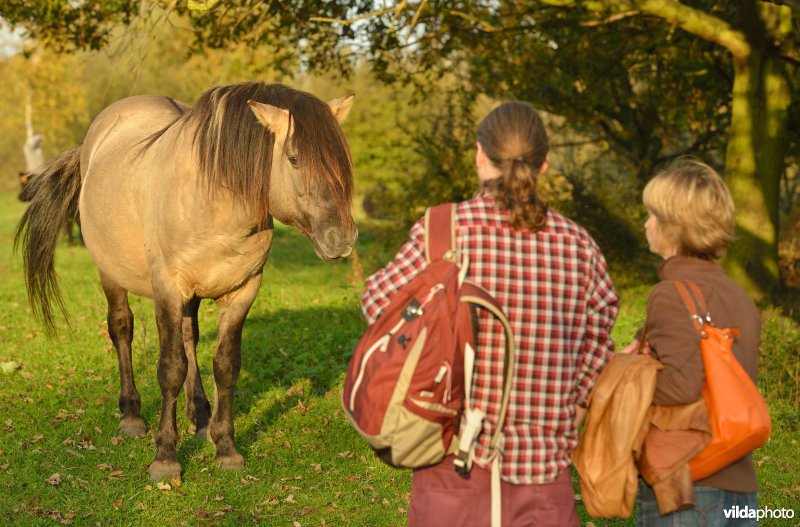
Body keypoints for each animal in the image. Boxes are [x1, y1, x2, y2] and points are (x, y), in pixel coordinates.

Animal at [14, 81, 360, 478]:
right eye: (294, 159)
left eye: (342, 159)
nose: (341, 238)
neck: (214, 203)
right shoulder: (167, 288)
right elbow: (170, 368)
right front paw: (165, 456)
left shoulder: (243, 291)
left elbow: (225, 366)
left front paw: (226, 447)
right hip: (111, 274)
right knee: (122, 328)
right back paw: (131, 414)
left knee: (189, 335)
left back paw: (201, 417)